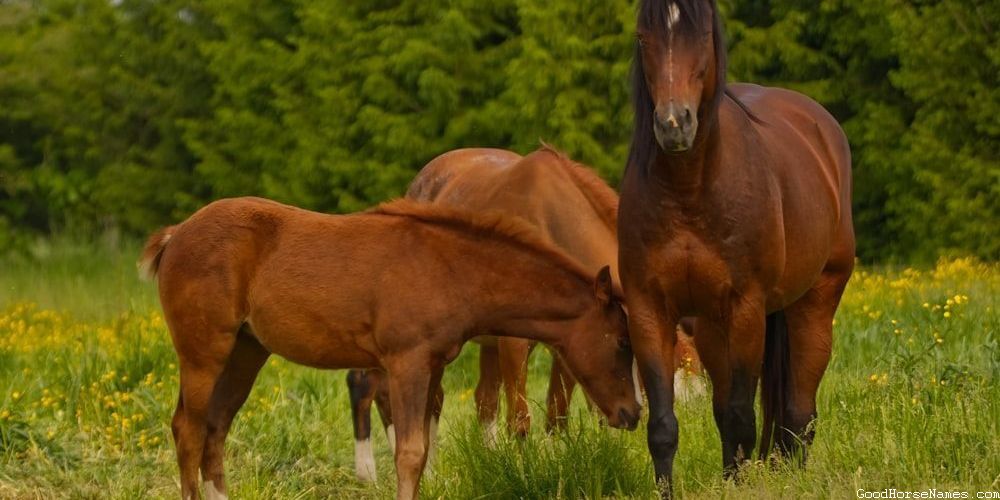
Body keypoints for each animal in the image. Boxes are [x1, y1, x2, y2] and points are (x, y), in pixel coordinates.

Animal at [139, 196, 642, 500]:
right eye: (622, 341)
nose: (632, 414)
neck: (451, 270)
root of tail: (176, 234)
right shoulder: (406, 363)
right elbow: (410, 451)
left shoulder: (433, 366)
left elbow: (422, 448)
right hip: (204, 352)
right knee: (188, 428)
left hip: (246, 352)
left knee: (216, 427)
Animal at [345, 146, 706, 482]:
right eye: (626, 346)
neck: (553, 224)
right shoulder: (514, 344)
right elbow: (519, 418)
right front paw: (523, 473)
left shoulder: (571, 344)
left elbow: (557, 411)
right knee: (389, 390)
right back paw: (386, 472)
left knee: (480, 399)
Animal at [618, 0, 855, 496]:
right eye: (643, 37)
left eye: (703, 35)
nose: (674, 125)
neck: (690, 190)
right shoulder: (649, 310)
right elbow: (667, 425)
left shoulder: (746, 309)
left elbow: (744, 415)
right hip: (711, 326)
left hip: (815, 302)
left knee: (799, 410)